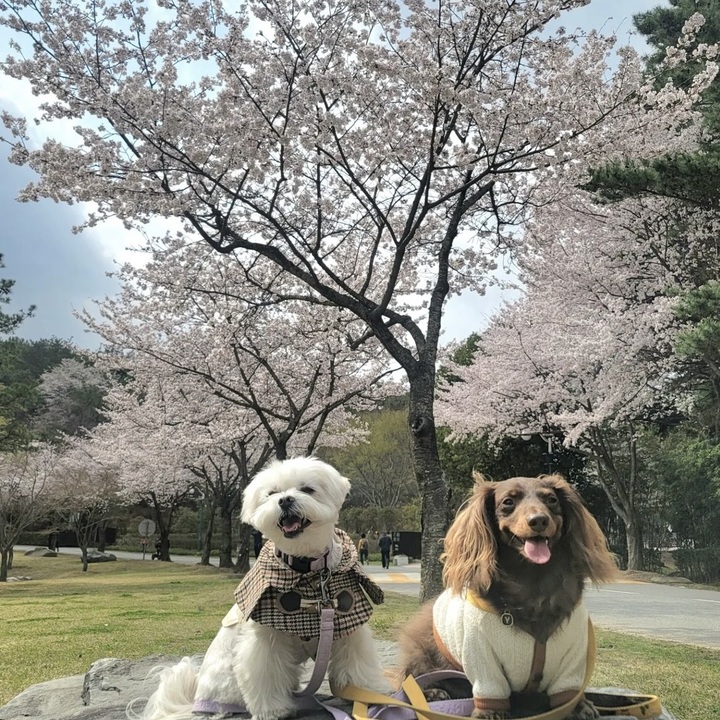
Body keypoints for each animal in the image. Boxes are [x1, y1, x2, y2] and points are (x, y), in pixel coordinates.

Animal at [129, 458, 388, 716]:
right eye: (271, 494)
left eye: (307, 489)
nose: (285, 500)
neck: (308, 569)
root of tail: (194, 700)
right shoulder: (265, 640)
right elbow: (266, 672)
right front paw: (272, 710)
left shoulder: (348, 628)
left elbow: (358, 663)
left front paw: (367, 694)